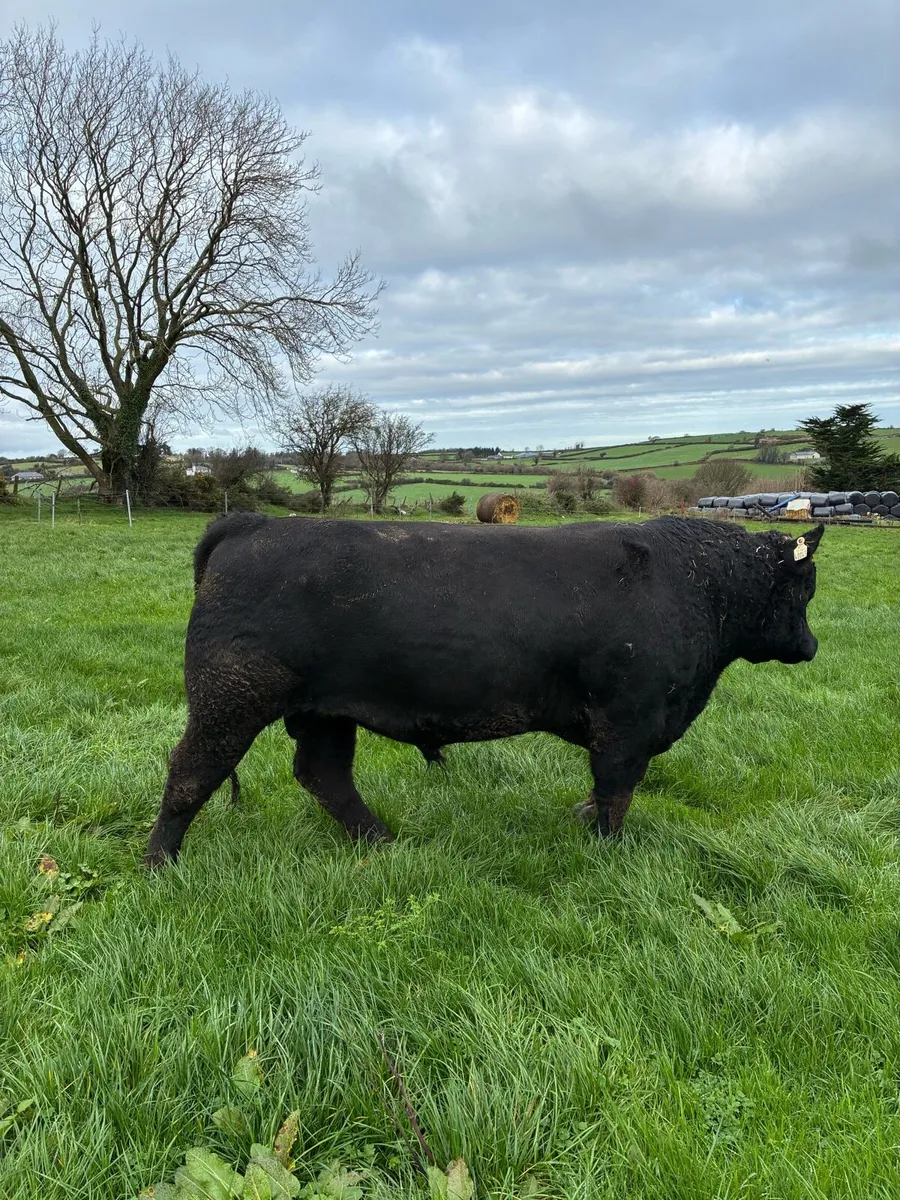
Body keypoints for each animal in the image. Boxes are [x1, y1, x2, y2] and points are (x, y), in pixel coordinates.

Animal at [144, 513, 824, 867]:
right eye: (805, 587)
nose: (813, 646)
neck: (693, 584)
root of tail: (252, 523)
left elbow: (605, 790)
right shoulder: (629, 721)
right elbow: (616, 790)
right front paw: (606, 851)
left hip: (324, 709)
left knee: (324, 774)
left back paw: (380, 841)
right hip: (231, 697)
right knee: (191, 770)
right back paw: (159, 864)